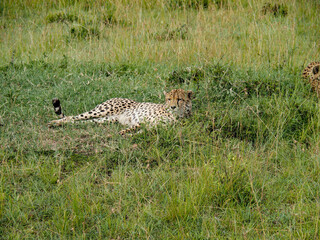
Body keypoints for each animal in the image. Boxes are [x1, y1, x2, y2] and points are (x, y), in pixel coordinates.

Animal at [47, 88, 192, 135]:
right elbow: (135, 127)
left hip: (105, 119)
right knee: (72, 117)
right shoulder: (144, 121)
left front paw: (127, 134)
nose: (172, 107)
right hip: (102, 111)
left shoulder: (155, 126)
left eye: (179, 99)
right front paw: (123, 132)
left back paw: (57, 124)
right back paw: (54, 122)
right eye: (169, 99)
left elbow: (141, 131)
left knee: (78, 121)